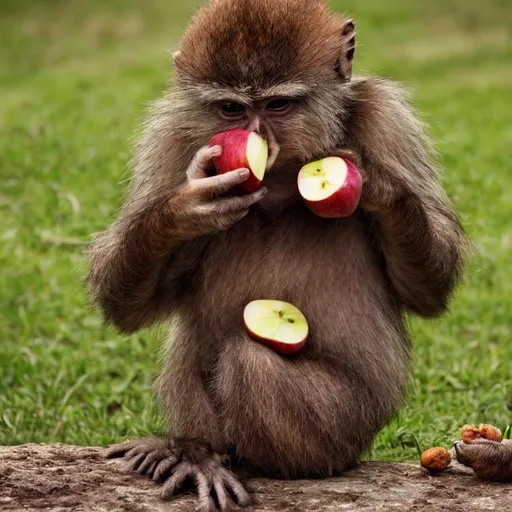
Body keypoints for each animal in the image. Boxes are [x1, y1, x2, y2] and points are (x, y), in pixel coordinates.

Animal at [87, 1, 468, 512]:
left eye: (278, 105)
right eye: (232, 108)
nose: (257, 137)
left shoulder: (388, 118)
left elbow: (427, 292)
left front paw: (381, 187)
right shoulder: (171, 136)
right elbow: (128, 306)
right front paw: (182, 209)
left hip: (345, 429)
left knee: (250, 363)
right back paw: (196, 453)